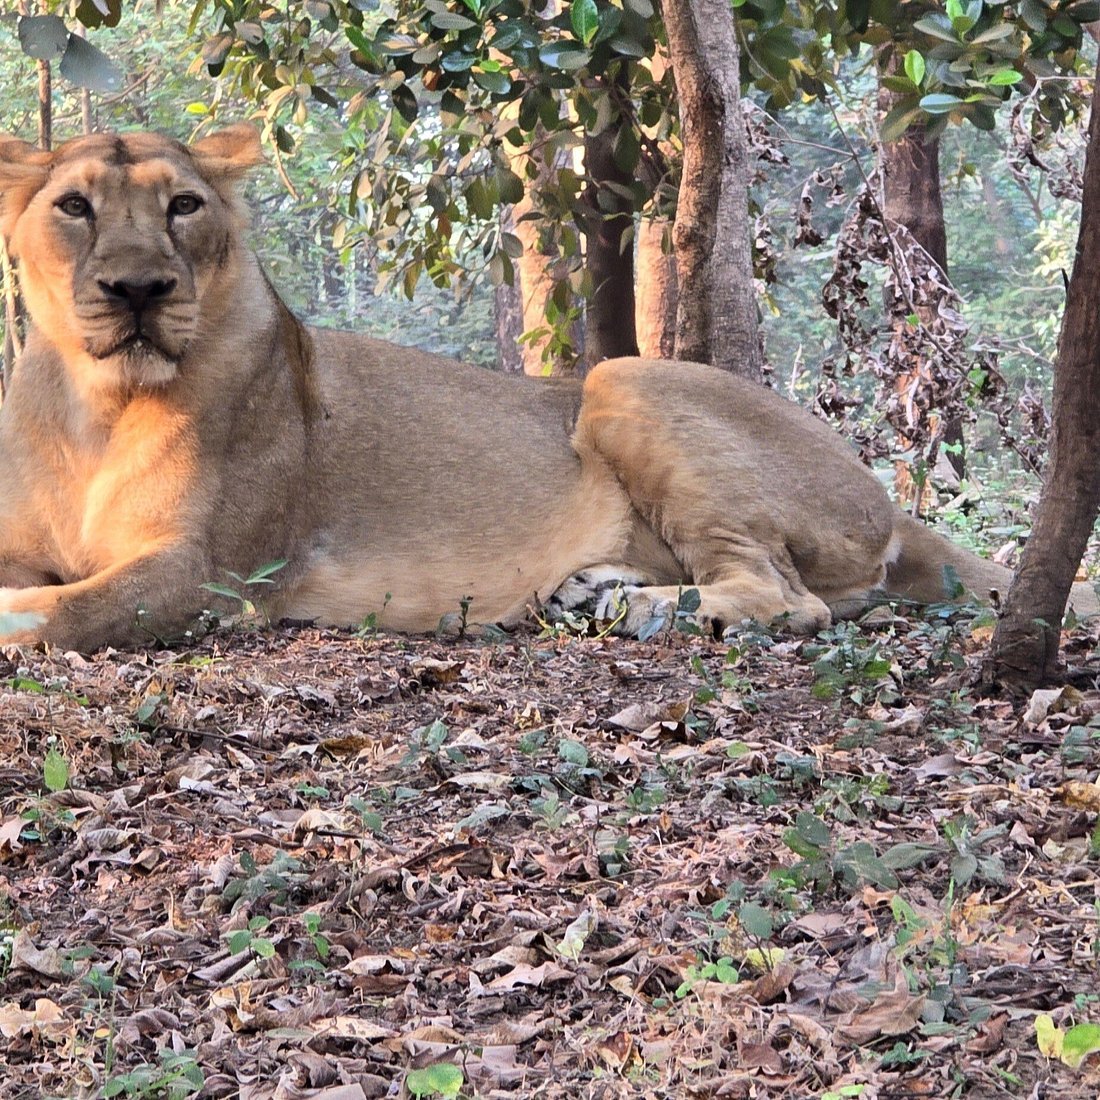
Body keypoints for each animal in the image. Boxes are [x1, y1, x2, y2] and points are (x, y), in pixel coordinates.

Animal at [0, 125, 1091, 652]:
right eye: (74, 207)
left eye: (182, 207)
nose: (138, 289)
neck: (95, 406)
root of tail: (882, 497)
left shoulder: (210, 574)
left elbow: (64, 611)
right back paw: (599, 593)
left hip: (619, 378)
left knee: (789, 600)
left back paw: (650, 613)